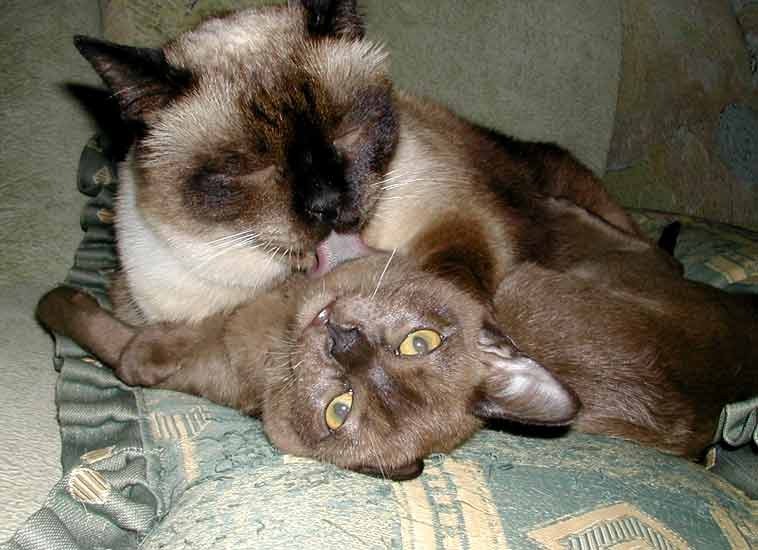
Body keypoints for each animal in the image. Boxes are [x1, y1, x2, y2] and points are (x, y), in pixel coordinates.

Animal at [37, 198, 758, 478]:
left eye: (340, 410)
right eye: (420, 343)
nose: (344, 342)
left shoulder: (154, 351)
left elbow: (109, 327)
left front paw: (71, 291)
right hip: (536, 272)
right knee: (629, 231)